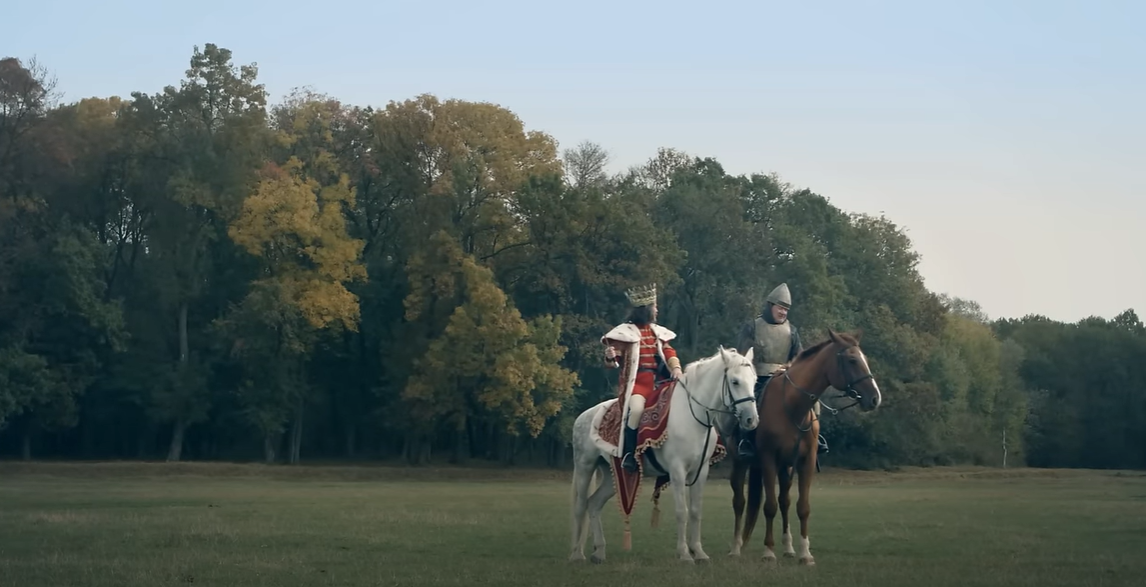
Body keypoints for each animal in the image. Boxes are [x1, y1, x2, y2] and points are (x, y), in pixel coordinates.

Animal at [568, 345, 760, 564]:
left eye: (754, 381)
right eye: (735, 381)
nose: (751, 420)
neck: (692, 415)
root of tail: (584, 416)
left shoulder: (700, 472)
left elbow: (695, 511)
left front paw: (699, 552)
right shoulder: (677, 471)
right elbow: (682, 512)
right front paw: (684, 554)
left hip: (612, 475)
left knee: (593, 504)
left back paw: (599, 551)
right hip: (585, 467)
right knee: (580, 506)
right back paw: (576, 554)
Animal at [727, 329, 882, 565]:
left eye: (864, 359)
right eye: (852, 360)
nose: (874, 398)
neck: (793, 406)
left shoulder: (805, 462)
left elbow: (802, 507)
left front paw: (804, 554)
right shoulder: (768, 460)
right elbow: (769, 506)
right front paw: (768, 551)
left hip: (786, 468)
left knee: (785, 501)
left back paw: (788, 548)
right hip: (740, 462)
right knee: (739, 502)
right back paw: (735, 548)